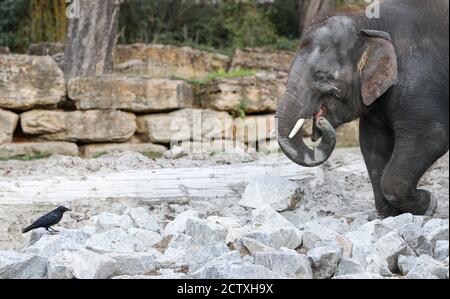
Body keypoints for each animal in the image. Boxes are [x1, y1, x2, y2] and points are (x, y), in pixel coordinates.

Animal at [276, 0, 448, 220]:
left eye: (321, 77)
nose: (320, 122)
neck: (366, 23)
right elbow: (372, 144)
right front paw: (392, 214)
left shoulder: (420, 83)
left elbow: (432, 136)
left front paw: (430, 204)